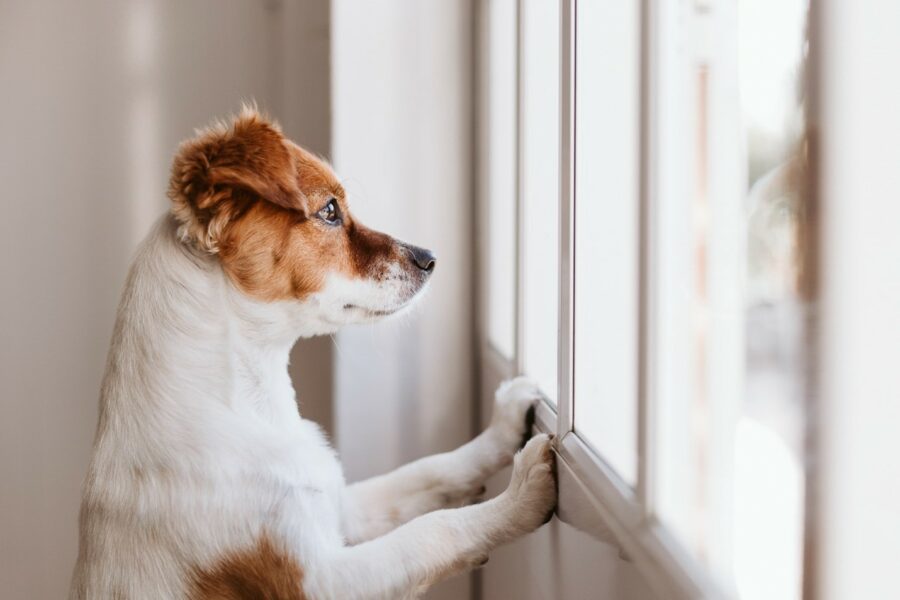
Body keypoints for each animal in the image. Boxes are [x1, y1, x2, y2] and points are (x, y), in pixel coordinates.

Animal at [70, 108, 556, 600]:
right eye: (329, 211)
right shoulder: (320, 581)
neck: (251, 405)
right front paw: (520, 496)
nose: (430, 258)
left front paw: (503, 426)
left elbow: (431, 471)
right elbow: (433, 531)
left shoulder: (342, 509)